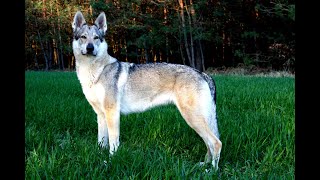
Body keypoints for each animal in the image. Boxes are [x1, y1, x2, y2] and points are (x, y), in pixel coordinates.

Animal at [72, 11, 222, 170]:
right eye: (83, 37)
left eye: (96, 38)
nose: (90, 48)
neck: (94, 72)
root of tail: (203, 74)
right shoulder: (100, 115)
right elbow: (101, 142)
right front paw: (101, 159)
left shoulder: (112, 113)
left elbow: (113, 143)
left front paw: (111, 161)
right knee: (209, 144)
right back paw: (204, 164)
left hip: (193, 118)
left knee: (216, 143)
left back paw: (211, 170)